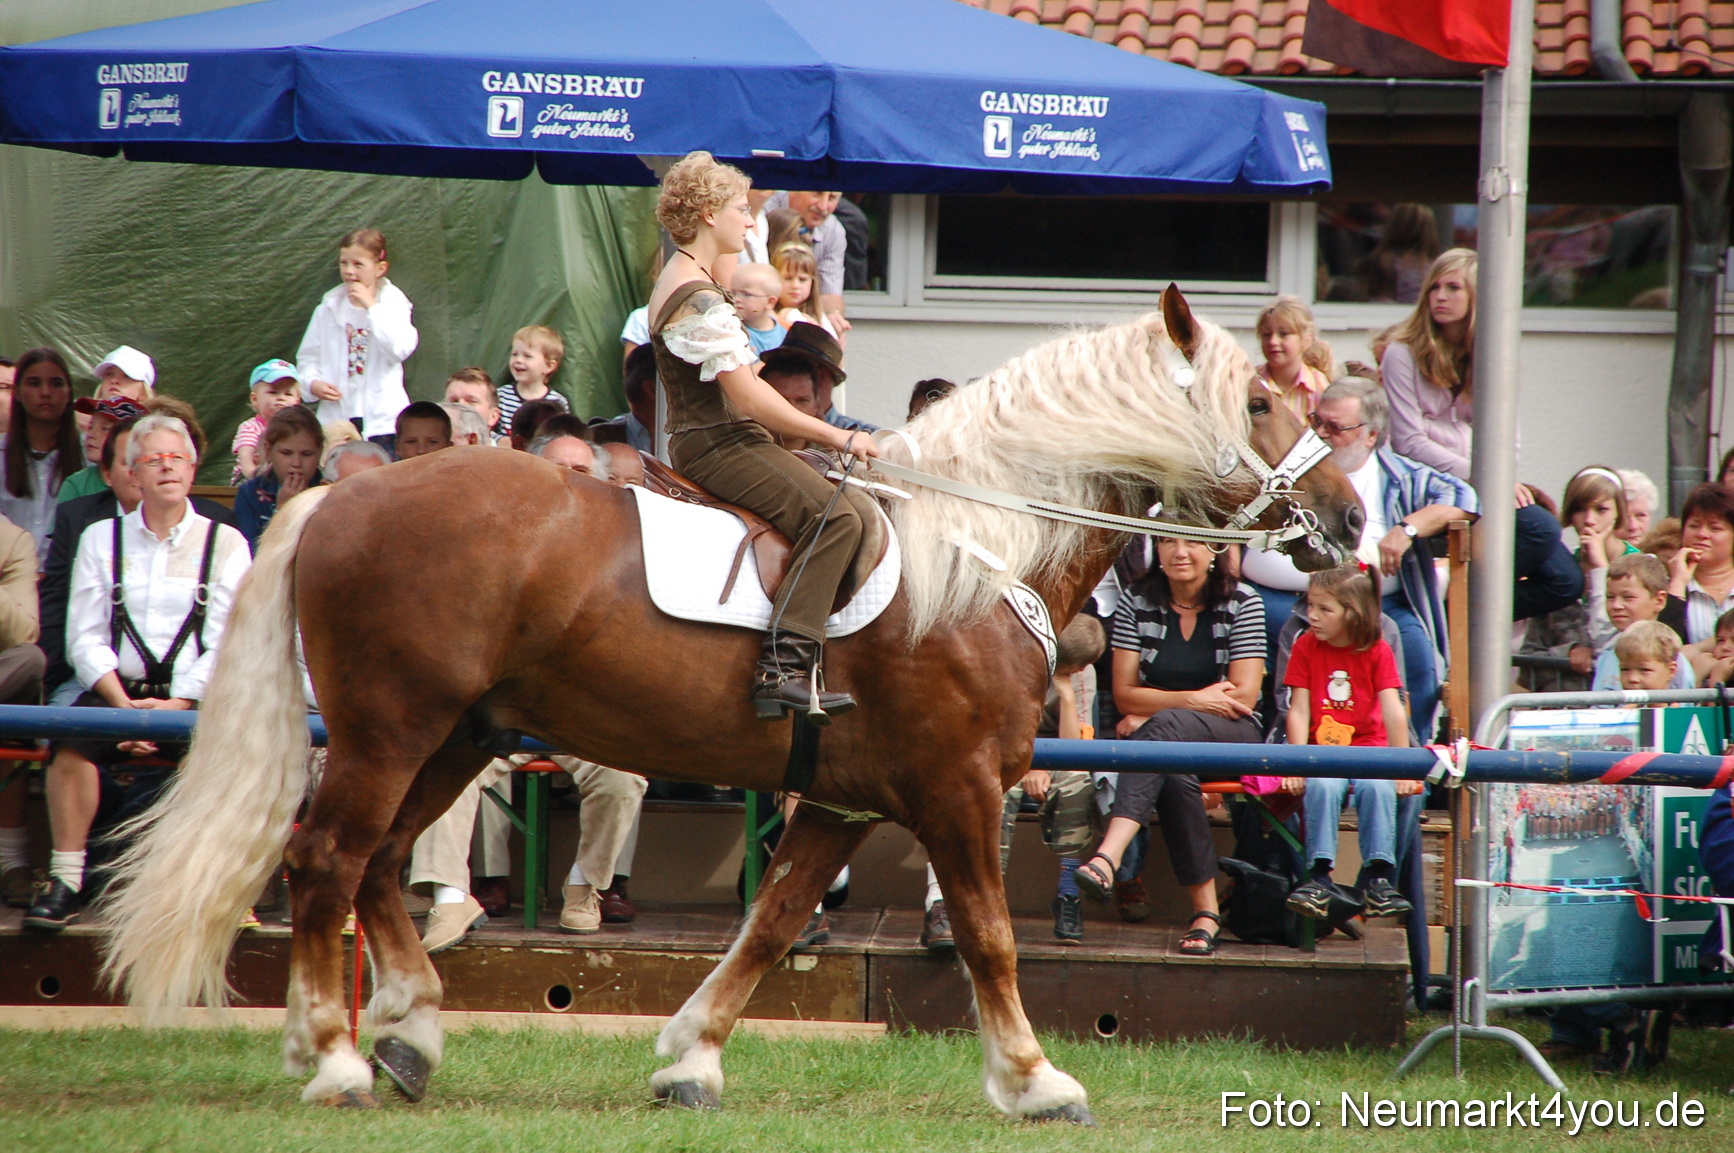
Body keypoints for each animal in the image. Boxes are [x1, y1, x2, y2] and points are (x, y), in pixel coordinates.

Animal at [98, 287, 1362, 1121]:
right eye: (1260, 397)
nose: (1351, 518)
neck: (982, 544)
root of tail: (338, 498)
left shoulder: (845, 804)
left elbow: (769, 924)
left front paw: (689, 1059)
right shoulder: (953, 790)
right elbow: (989, 937)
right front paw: (1035, 1077)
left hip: (455, 733)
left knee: (377, 861)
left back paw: (408, 1031)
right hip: (390, 727)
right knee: (327, 859)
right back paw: (336, 1057)